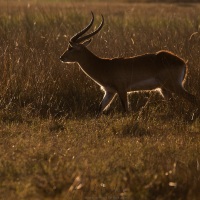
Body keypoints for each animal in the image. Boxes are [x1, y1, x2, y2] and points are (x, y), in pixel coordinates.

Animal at [59, 12, 198, 114]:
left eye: (71, 47)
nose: (61, 57)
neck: (104, 66)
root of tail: (182, 62)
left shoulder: (122, 89)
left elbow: (126, 110)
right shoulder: (109, 92)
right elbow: (99, 109)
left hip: (173, 86)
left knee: (193, 98)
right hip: (164, 89)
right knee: (174, 104)